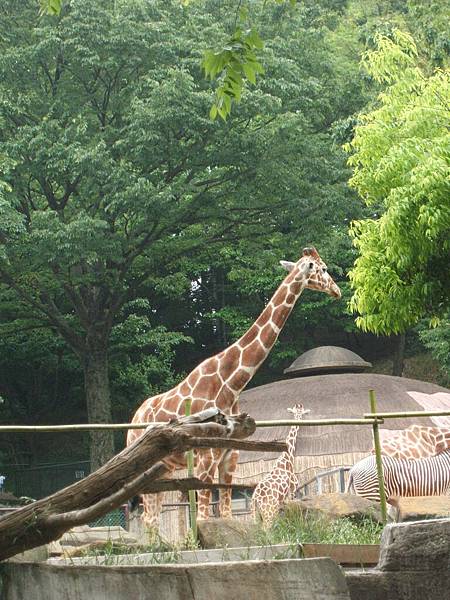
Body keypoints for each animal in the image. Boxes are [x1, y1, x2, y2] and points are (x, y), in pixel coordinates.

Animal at [127, 246, 342, 532]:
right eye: (324, 268)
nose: (337, 291)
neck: (231, 384)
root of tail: (133, 419)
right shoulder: (206, 457)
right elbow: (203, 518)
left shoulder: (230, 457)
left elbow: (227, 515)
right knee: (150, 518)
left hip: (165, 468)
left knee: (152, 517)